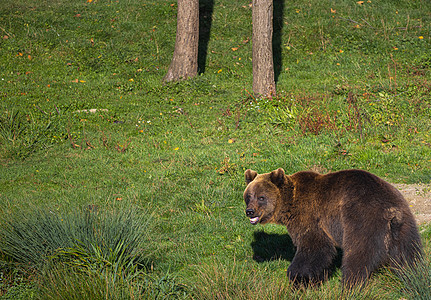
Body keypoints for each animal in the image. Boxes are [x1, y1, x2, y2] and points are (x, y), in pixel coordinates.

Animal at [245, 168, 424, 288]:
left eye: (261, 197)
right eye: (248, 196)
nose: (249, 211)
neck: (289, 204)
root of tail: (392, 212)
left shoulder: (310, 216)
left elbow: (315, 248)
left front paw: (297, 277)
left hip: (362, 220)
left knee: (358, 255)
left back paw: (349, 285)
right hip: (406, 227)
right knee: (410, 256)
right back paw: (414, 277)